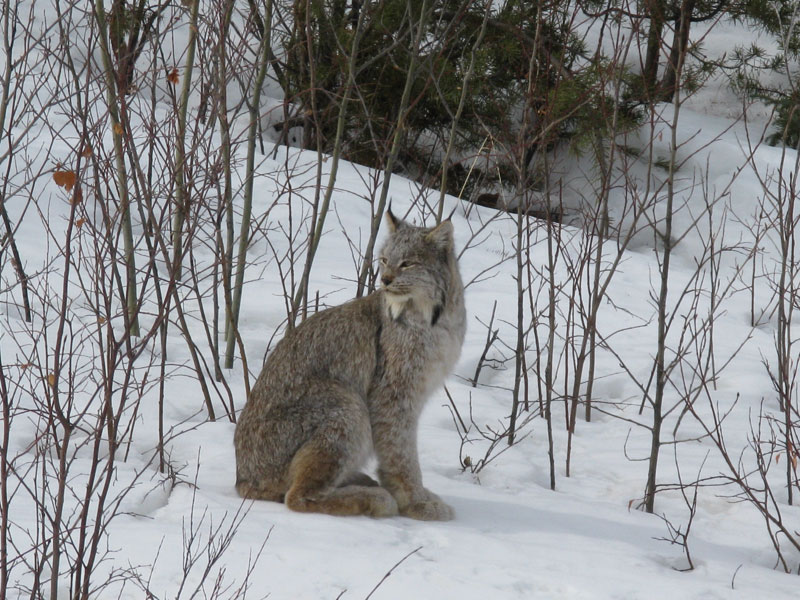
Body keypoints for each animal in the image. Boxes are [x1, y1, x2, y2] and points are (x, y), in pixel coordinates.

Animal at [234, 209, 466, 520]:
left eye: (407, 263)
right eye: (385, 260)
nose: (385, 280)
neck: (436, 318)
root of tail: (242, 477)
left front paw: (416, 497)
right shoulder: (394, 392)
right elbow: (401, 450)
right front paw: (414, 501)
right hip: (345, 402)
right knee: (296, 497)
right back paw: (374, 499)